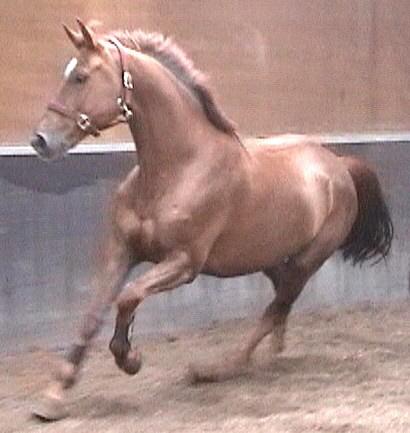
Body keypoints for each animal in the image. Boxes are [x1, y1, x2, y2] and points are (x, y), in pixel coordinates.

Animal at [30, 19, 393, 420]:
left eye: (80, 77)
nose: (41, 140)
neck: (177, 169)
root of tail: (339, 165)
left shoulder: (184, 263)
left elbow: (128, 297)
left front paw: (131, 359)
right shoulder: (122, 251)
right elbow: (92, 315)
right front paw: (54, 396)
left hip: (308, 260)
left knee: (275, 307)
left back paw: (215, 369)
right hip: (265, 257)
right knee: (280, 302)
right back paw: (273, 353)